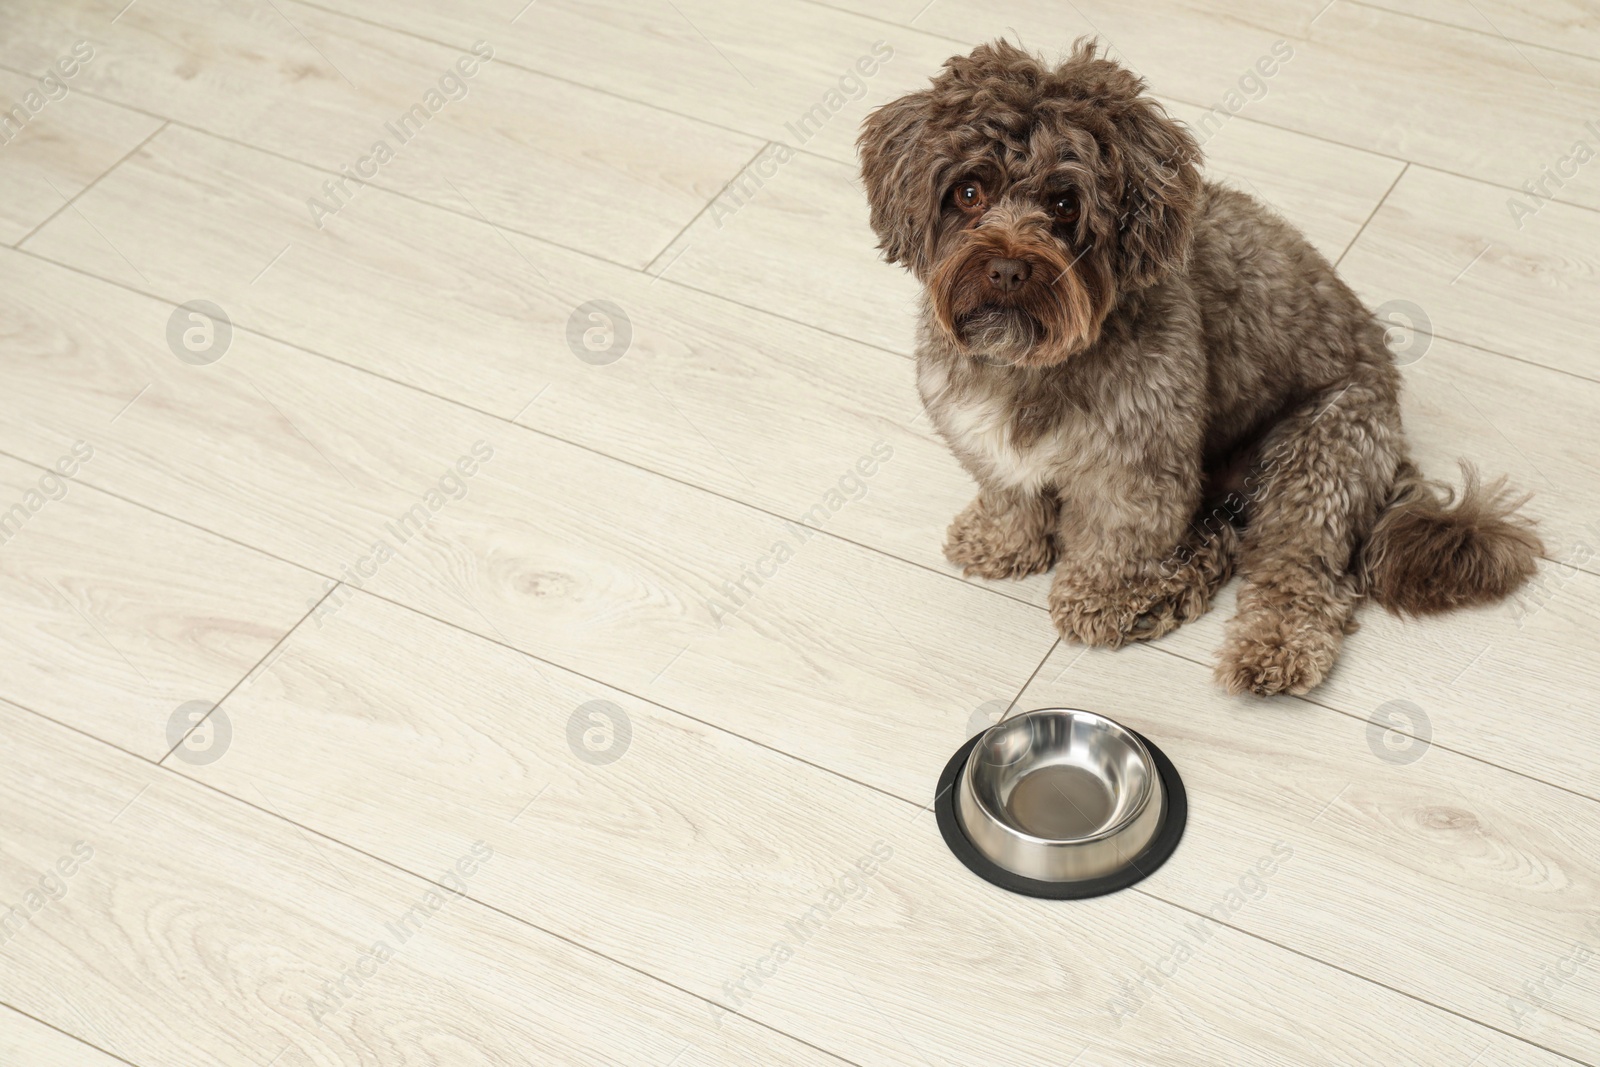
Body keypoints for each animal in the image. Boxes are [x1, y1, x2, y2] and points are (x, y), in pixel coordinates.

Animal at [857, 39, 1542, 694]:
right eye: (969, 192)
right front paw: (1002, 542)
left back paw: (1269, 649)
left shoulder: (1138, 460)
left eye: (1064, 204)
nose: (1005, 269)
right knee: (1222, 541)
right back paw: (1167, 595)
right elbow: (1009, 492)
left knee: (1300, 570)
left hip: (1319, 456)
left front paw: (1101, 595)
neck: (1031, 363)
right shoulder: (979, 432)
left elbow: (1121, 532)